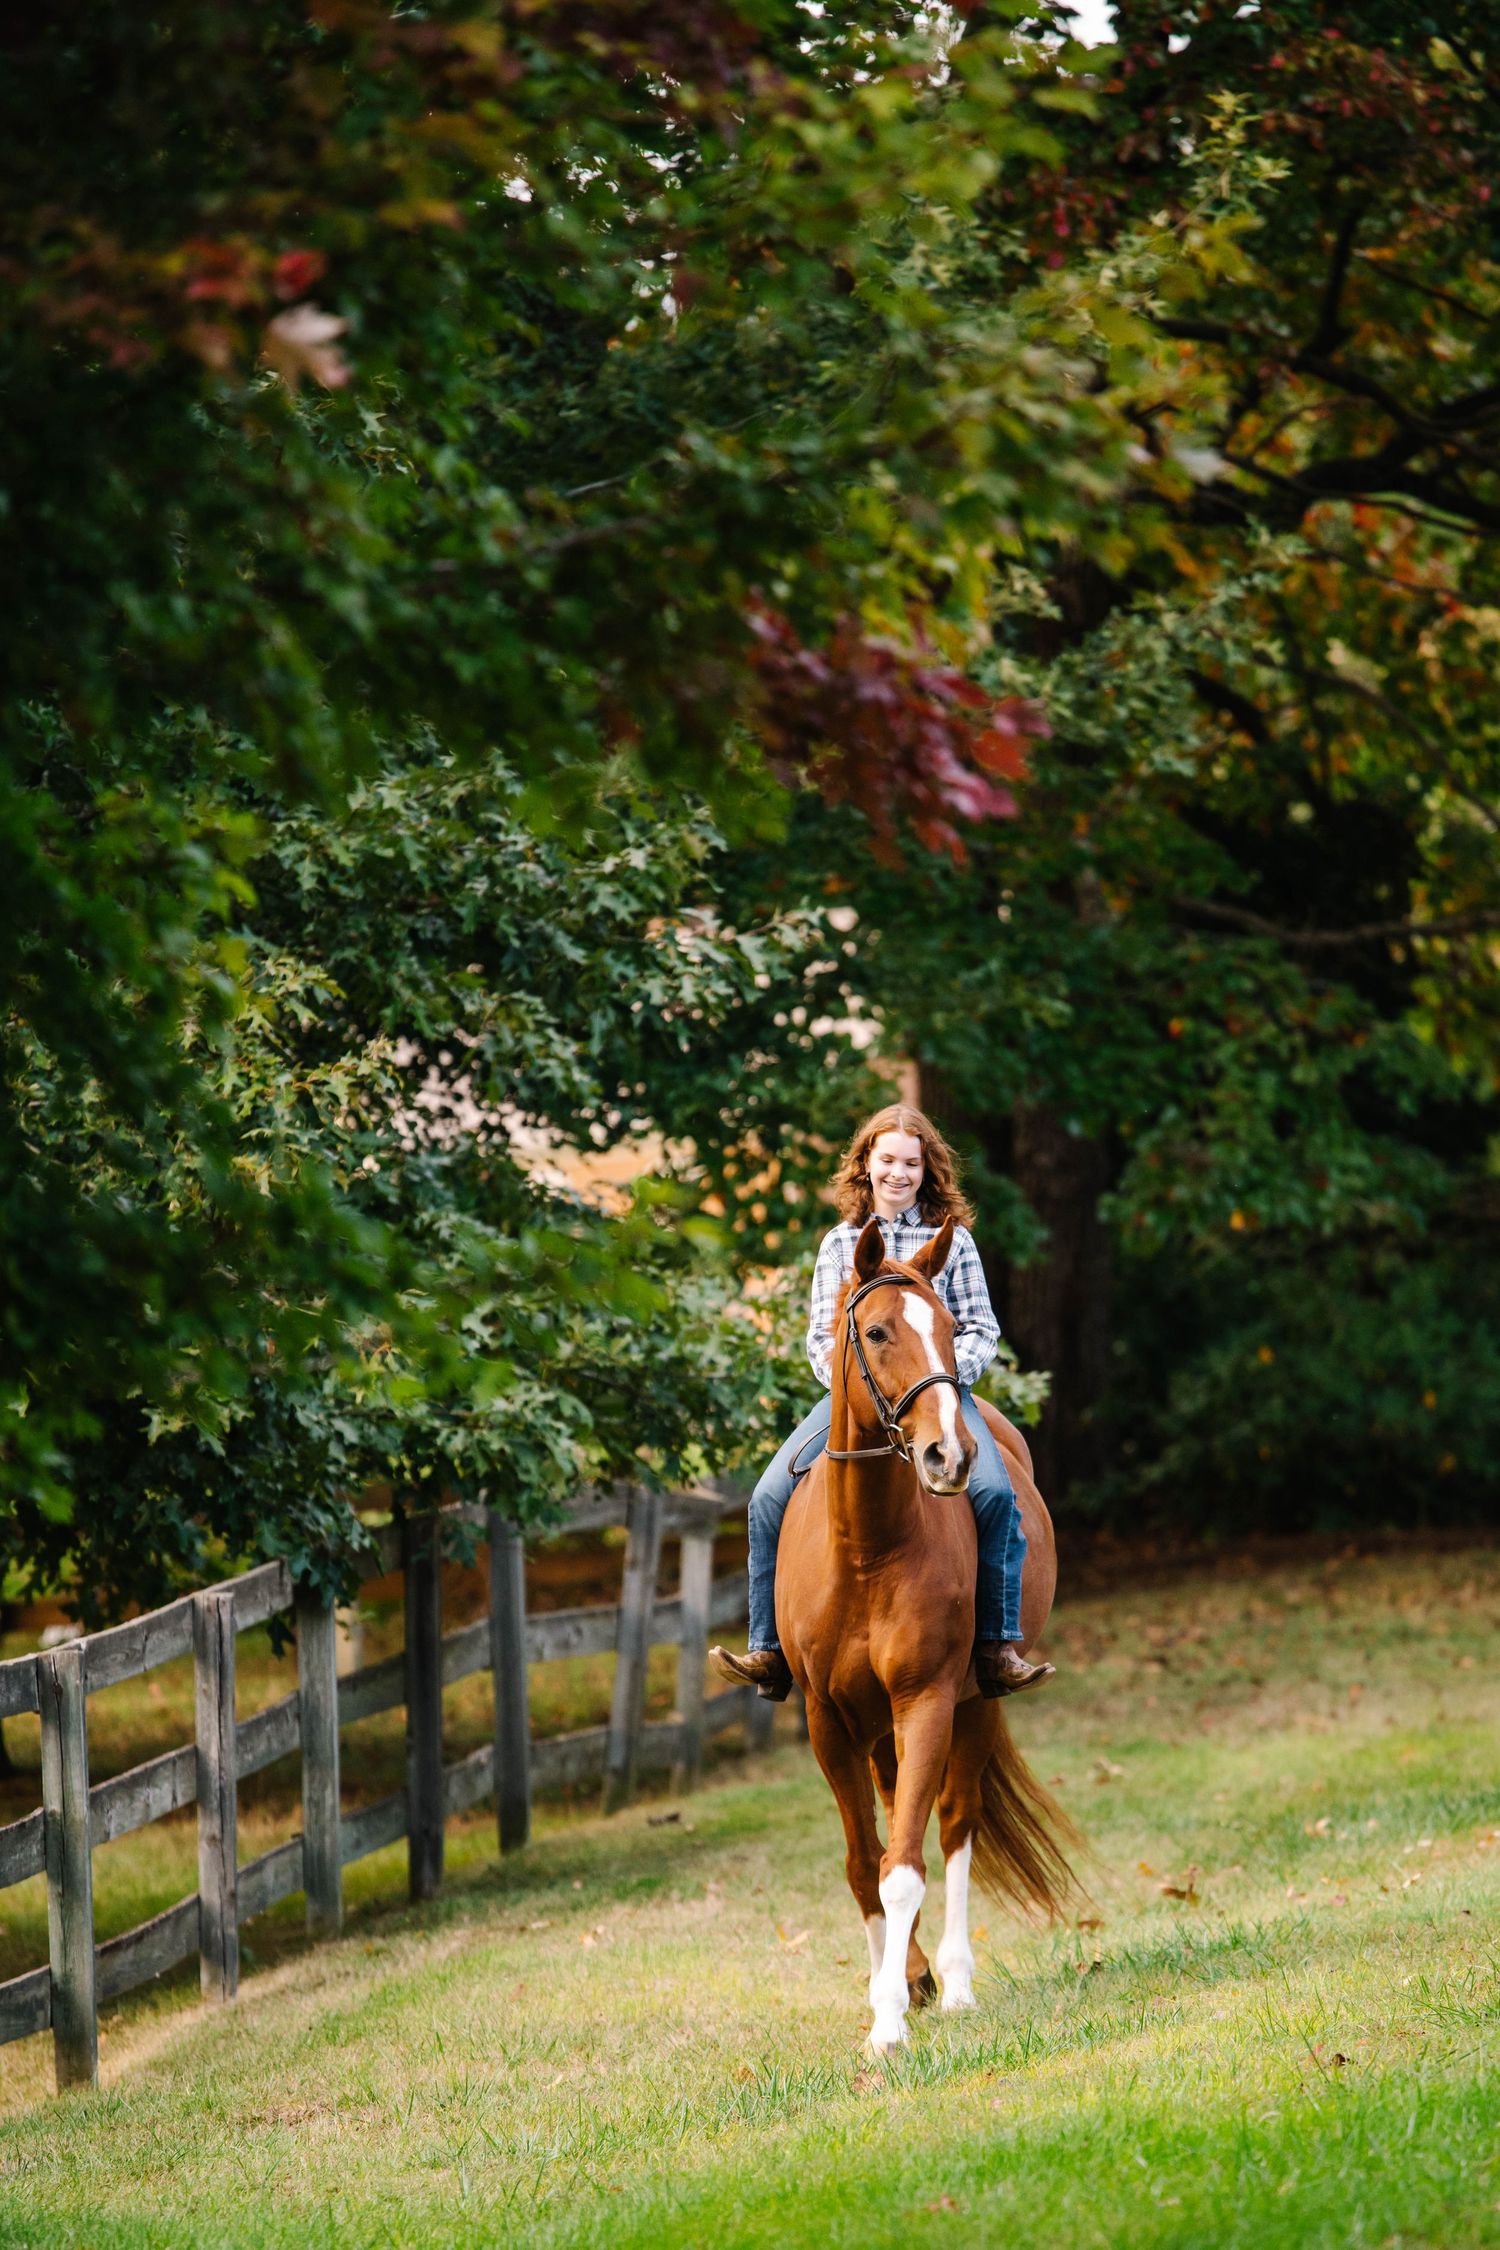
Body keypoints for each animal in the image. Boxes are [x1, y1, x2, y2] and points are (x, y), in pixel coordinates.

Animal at [775, 1213, 1077, 2053]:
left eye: (949, 1327)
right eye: (877, 1331)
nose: (949, 1454)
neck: (867, 1549)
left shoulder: (928, 1701)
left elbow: (906, 1866)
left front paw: (888, 2025)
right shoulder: (828, 1720)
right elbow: (865, 1863)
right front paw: (891, 1991)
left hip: (973, 1705)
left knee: (955, 1827)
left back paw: (956, 1983)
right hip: (877, 1728)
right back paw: (913, 1975)